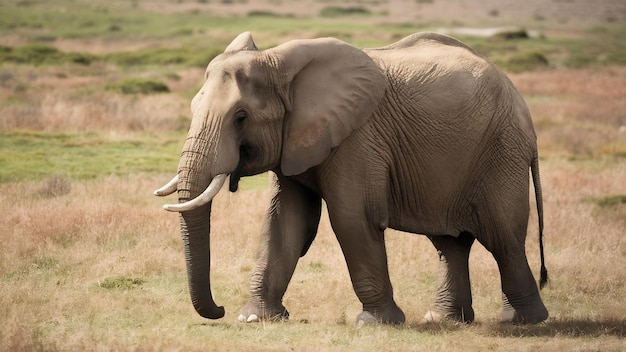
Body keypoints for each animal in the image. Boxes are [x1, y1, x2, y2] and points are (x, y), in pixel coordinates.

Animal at [155, 31, 544, 326]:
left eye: (240, 117)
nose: (218, 310)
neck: (279, 63)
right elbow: (284, 222)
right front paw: (255, 318)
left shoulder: (357, 137)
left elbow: (352, 218)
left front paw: (377, 324)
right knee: (451, 244)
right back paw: (444, 320)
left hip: (501, 152)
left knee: (504, 237)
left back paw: (522, 322)